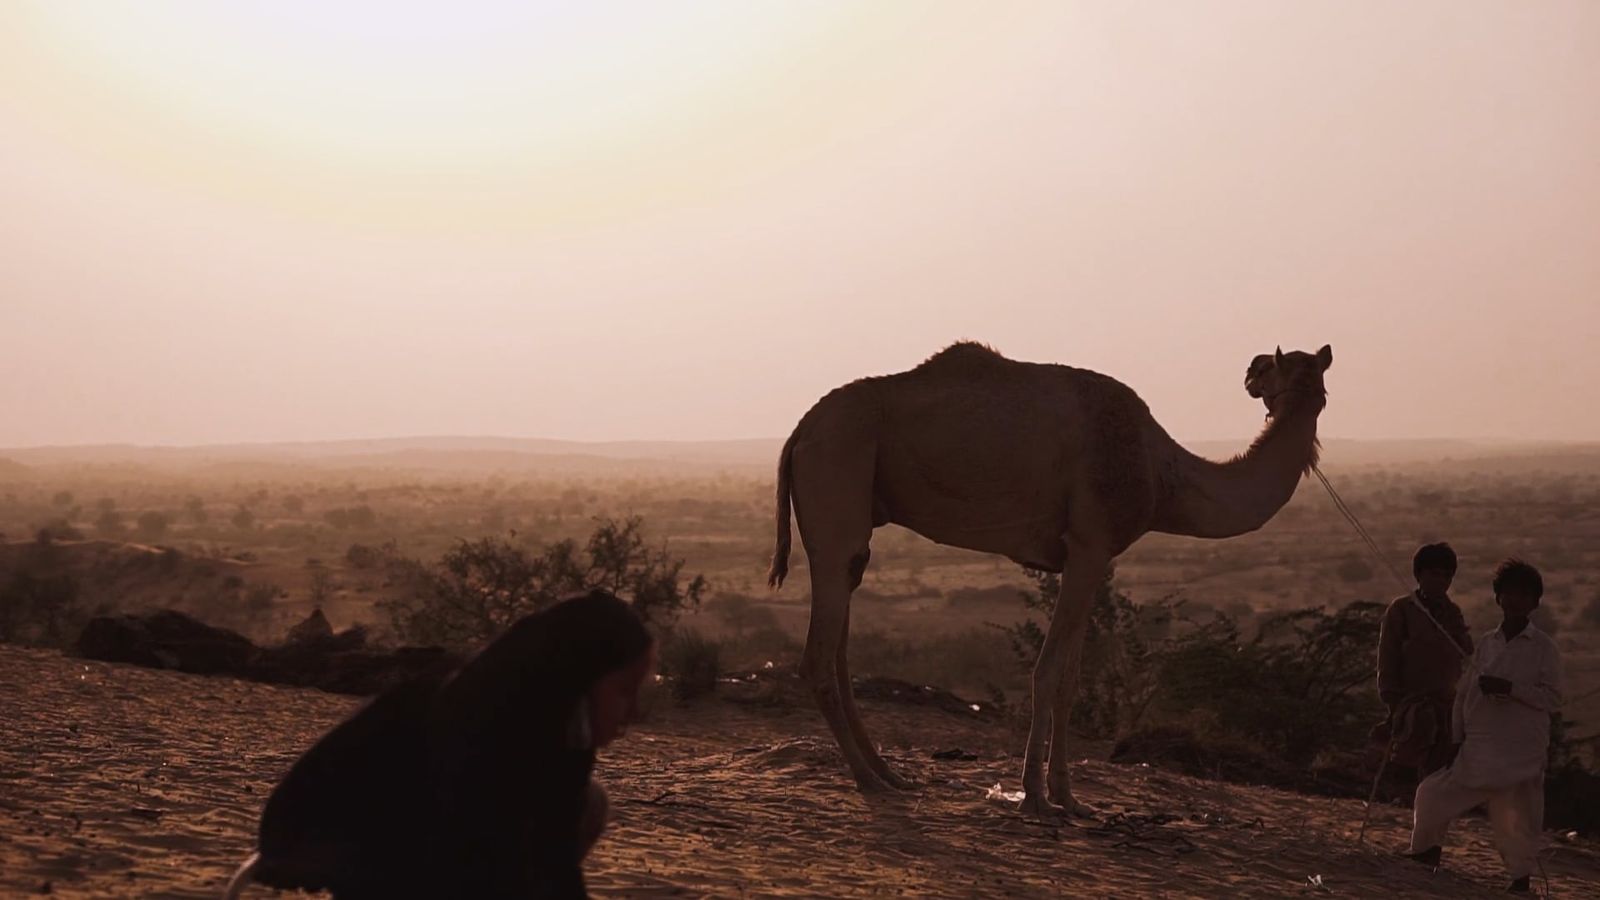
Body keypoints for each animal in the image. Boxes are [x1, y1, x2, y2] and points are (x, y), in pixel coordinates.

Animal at [767, 341, 1333, 815]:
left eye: (1305, 367)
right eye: (1279, 364)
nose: (1251, 370)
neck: (1163, 474)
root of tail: (799, 431)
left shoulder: (1091, 557)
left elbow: (1072, 677)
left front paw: (1068, 797)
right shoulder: (1088, 546)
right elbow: (1050, 671)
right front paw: (1037, 797)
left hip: (856, 509)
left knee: (840, 637)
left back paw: (888, 773)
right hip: (837, 470)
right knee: (818, 652)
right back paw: (868, 778)